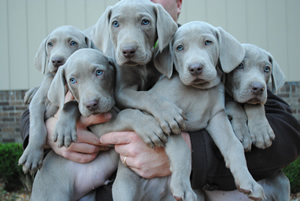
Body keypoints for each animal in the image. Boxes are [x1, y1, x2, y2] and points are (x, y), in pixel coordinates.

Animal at [88, 0, 185, 146]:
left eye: (145, 22)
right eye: (115, 23)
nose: (128, 51)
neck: (141, 66)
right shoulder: (121, 92)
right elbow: (144, 96)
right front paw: (164, 113)